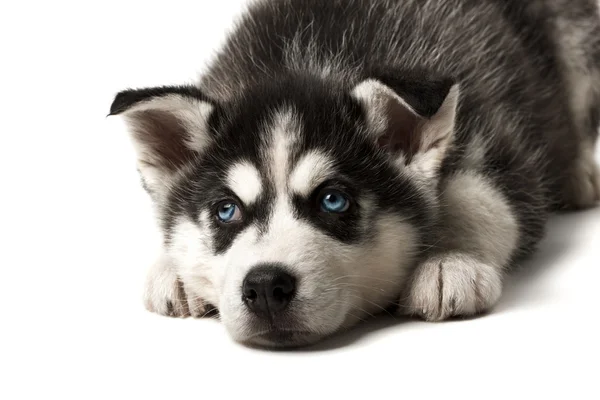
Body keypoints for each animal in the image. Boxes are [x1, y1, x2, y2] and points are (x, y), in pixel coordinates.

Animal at [109, 0, 600, 346]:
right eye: (225, 210)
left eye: (333, 200)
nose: (265, 286)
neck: (305, 64)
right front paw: (172, 267)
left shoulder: (497, 139)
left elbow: (480, 197)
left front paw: (451, 260)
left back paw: (579, 175)